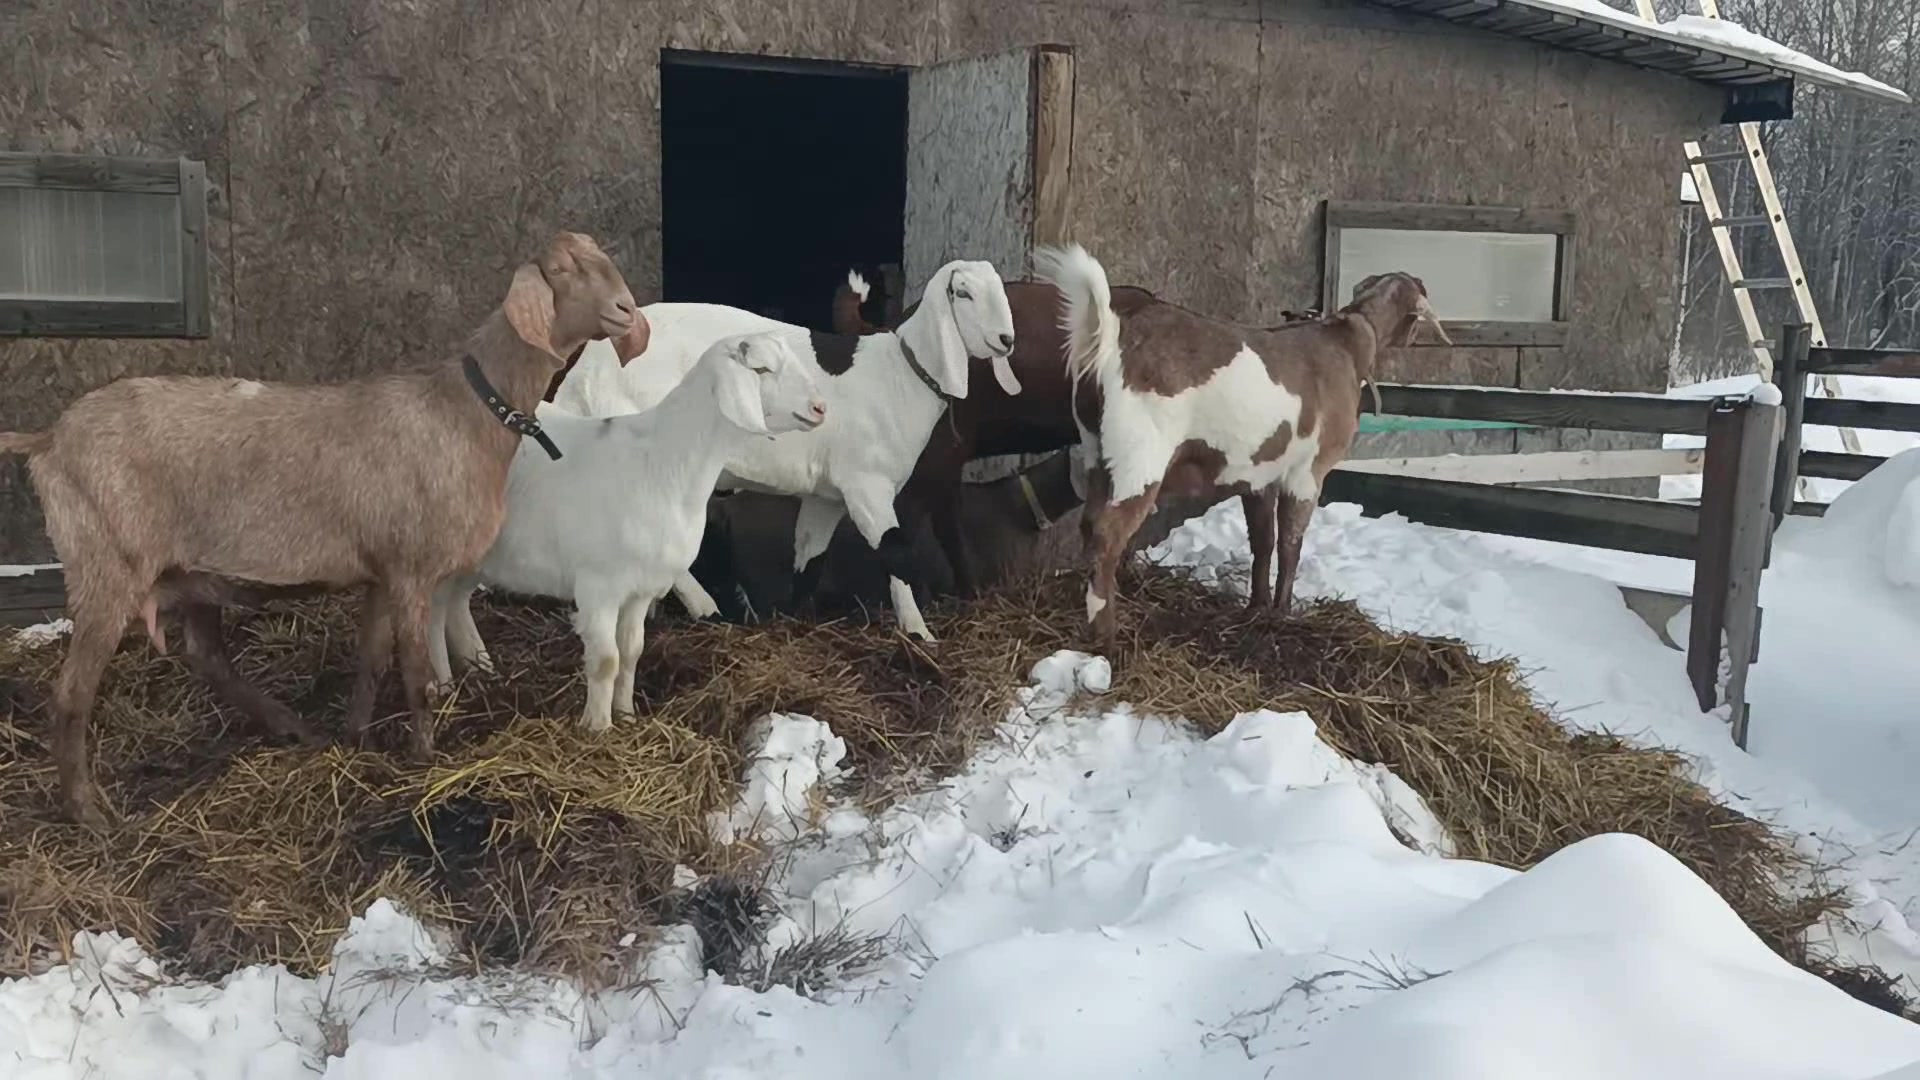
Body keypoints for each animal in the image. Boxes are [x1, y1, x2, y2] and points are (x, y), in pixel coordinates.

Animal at [0, 228, 645, 822]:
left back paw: (297, 731)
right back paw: (88, 812)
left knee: (207, 658)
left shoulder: (381, 571)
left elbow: (372, 660)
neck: (464, 410)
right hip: (106, 562)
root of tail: (47, 438)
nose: (624, 309)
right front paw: (424, 756)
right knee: (72, 693)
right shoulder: (411, 567)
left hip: (189, 569)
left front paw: (358, 736)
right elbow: (416, 672)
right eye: (560, 269)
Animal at [432, 330, 829, 730]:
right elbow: (606, 660)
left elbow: (631, 652)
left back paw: (481, 669)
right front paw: (598, 728)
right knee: (432, 615)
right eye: (762, 369)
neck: (665, 464)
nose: (820, 408)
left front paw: (626, 715)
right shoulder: (598, 586)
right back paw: (443, 688)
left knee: (454, 604)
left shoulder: (640, 588)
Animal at [549, 255, 1021, 634]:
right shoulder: (865, 484)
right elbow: (895, 550)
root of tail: (582, 376)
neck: (900, 374)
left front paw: (794, 622)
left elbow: (809, 559)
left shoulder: (826, 495)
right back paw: (705, 608)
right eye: (963, 293)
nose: (1006, 340)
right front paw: (920, 634)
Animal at [1044, 244, 1443, 641]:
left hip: (1096, 450)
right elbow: (1290, 543)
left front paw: (1258, 607)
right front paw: (1283, 612)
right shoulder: (1307, 473)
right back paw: (1105, 632)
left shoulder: (1260, 473)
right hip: (1138, 457)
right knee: (1107, 535)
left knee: (1089, 523)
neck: (1347, 343)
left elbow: (1263, 541)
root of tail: (1112, 342)